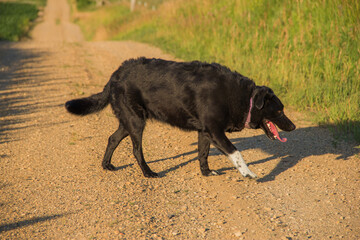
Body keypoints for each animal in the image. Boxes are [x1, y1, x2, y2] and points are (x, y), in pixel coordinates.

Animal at [65, 58, 296, 178]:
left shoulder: (205, 132)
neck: (243, 97)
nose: (293, 127)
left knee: (112, 138)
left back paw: (107, 165)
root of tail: (115, 75)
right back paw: (148, 172)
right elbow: (236, 152)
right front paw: (248, 173)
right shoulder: (215, 131)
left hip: (128, 121)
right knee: (136, 150)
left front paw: (206, 172)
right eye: (279, 111)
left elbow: (203, 153)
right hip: (136, 122)